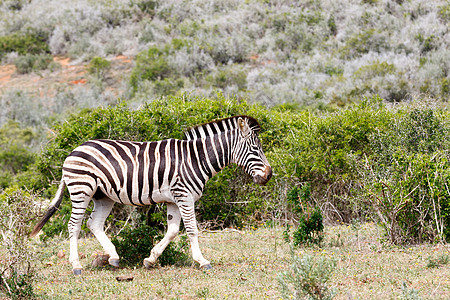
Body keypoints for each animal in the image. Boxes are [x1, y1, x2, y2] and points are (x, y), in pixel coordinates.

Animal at [31, 115, 272, 274]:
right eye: (256, 149)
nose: (269, 175)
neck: (197, 158)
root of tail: (74, 150)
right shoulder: (184, 195)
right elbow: (192, 230)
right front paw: (202, 261)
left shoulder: (174, 199)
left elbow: (173, 231)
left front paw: (150, 259)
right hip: (82, 188)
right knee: (74, 225)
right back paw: (76, 265)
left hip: (103, 196)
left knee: (94, 224)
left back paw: (114, 257)